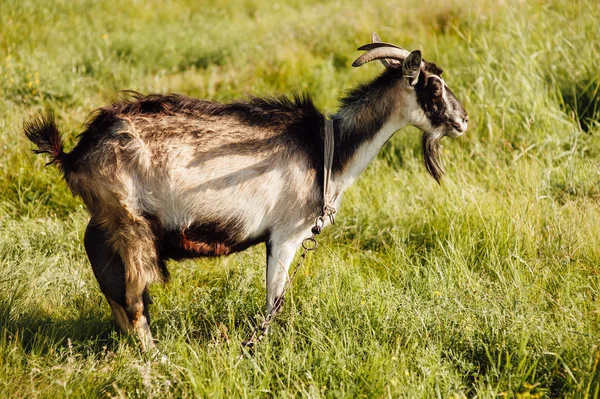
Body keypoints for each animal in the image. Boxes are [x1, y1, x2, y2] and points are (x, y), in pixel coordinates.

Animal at [24, 34, 468, 352]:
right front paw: (258, 349)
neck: (327, 150)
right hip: (130, 222)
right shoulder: (286, 235)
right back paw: (156, 359)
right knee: (133, 300)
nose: (463, 119)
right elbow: (274, 301)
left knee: (110, 285)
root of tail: (75, 152)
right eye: (433, 84)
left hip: (105, 222)